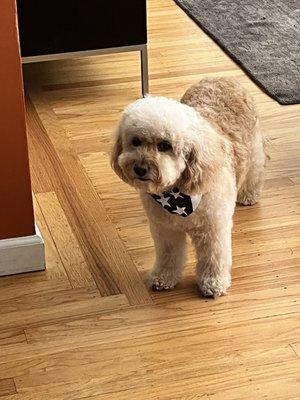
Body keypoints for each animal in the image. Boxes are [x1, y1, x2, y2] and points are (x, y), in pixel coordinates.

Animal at [111, 77, 266, 296]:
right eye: (135, 141)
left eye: (164, 145)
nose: (140, 168)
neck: (177, 194)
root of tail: (222, 78)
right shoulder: (165, 230)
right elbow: (169, 257)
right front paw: (163, 278)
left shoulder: (213, 229)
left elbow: (213, 259)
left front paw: (213, 283)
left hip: (253, 149)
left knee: (255, 170)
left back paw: (249, 194)